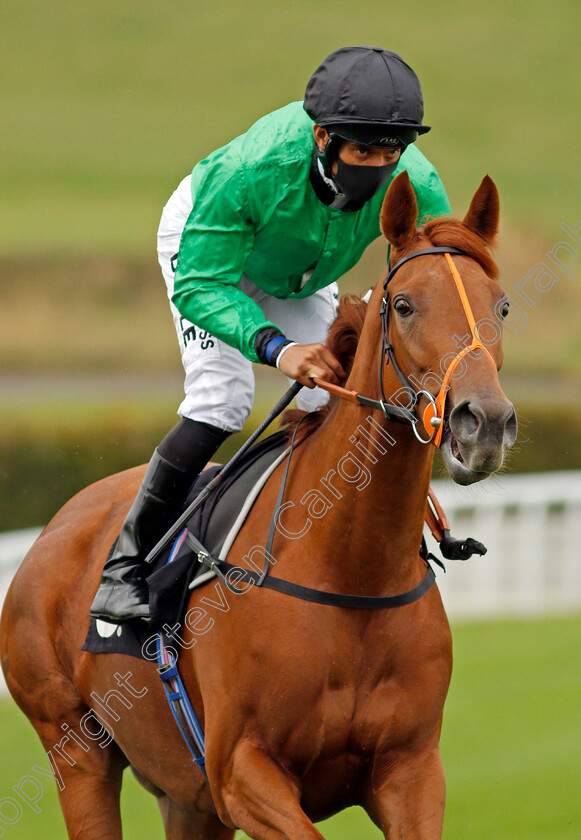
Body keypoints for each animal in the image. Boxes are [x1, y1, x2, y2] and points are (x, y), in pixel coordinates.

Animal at [0, 172, 516, 840]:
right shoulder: (242, 773)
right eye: (404, 305)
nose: (485, 423)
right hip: (74, 748)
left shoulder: (411, 768)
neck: (353, 573)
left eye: (501, 305)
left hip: (187, 796)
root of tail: (52, 530)